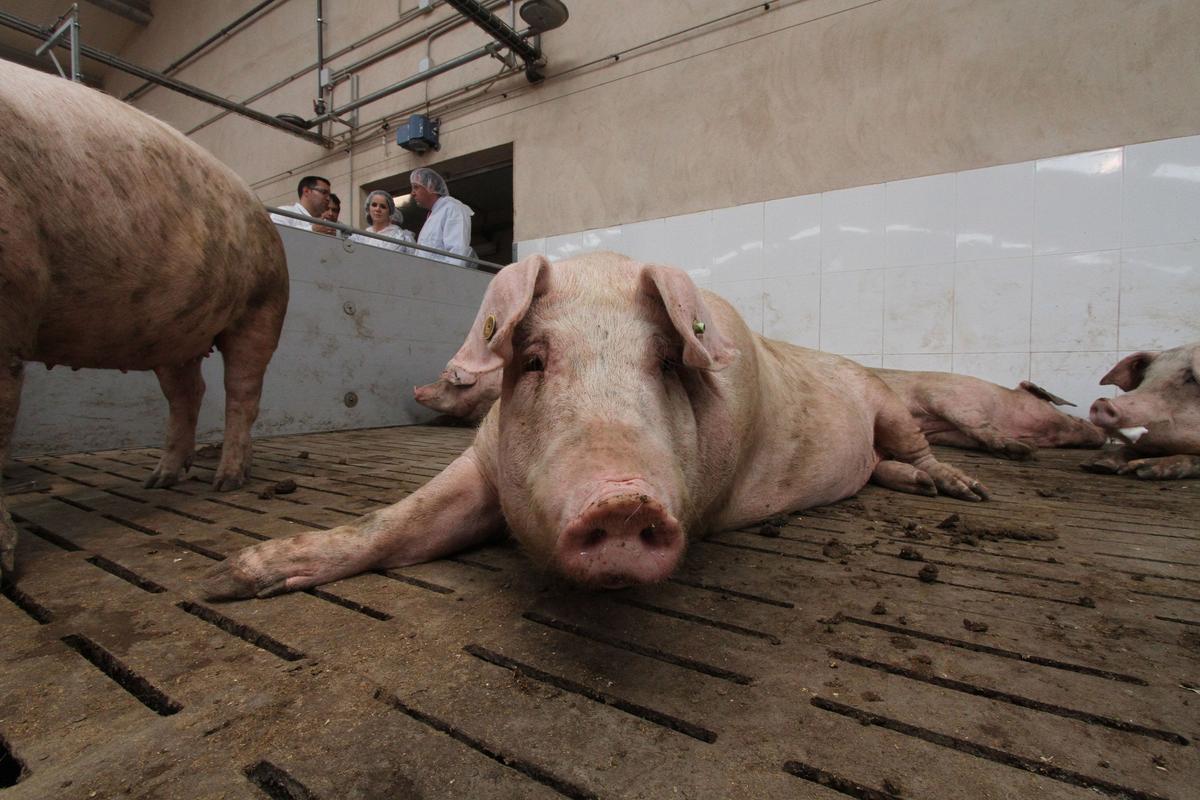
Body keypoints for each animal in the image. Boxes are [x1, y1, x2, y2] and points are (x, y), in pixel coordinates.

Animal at [0, 59, 290, 578]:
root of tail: (260, 207)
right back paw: (160, 480)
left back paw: (227, 481)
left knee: (242, 392)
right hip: (175, 332)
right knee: (188, 393)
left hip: (262, 306)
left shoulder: (12, 294)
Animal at [201, 253, 984, 597]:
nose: (621, 499)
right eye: (535, 359)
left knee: (915, 448)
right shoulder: (483, 462)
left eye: (665, 362)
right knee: (885, 468)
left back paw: (964, 490)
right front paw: (232, 577)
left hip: (884, 401)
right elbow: (397, 522)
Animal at [873, 367, 1104, 455]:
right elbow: (974, 423)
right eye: (1069, 414)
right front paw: (1021, 448)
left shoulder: (942, 431)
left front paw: (1024, 447)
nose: (1101, 432)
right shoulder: (948, 395)